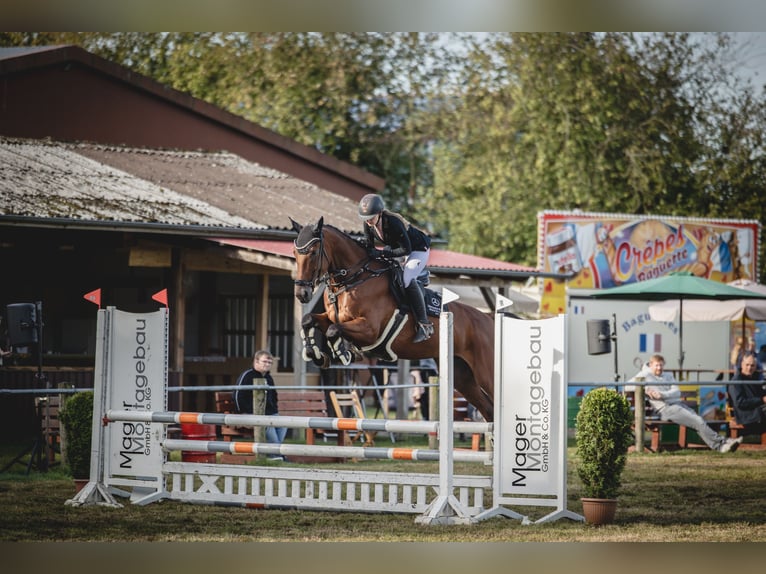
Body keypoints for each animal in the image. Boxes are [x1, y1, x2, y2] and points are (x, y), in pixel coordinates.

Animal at [290, 216, 498, 424]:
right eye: (295, 253)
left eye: (313, 252)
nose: (302, 294)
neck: (353, 280)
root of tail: (488, 319)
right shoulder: (332, 318)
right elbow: (308, 320)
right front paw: (316, 354)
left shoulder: (369, 330)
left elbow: (334, 330)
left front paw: (345, 353)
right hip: (462, 376)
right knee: (489, 410)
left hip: (486, 373)